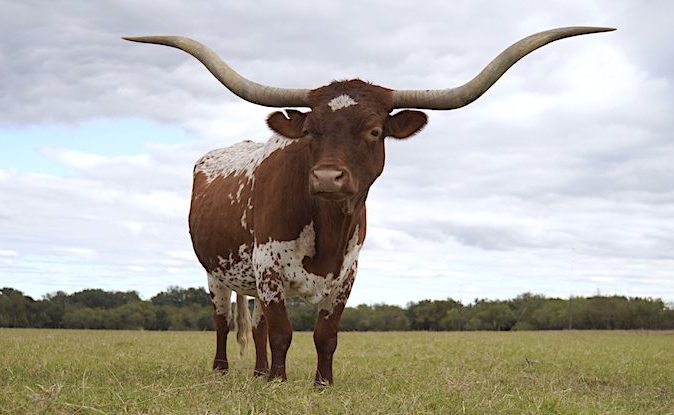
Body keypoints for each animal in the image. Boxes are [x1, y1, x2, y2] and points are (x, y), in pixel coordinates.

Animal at [123, 25, 612, 384]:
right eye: (311, 130)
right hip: (216, 274)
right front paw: (280, 383)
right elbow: (282, 332)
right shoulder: (269, 266)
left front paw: (320, 384)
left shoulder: (347, 273)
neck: (327, 227)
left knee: (255, 324)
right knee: (224, 321)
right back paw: (225, 371)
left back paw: (258, 373)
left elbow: (325, 335)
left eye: (375, 131)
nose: (326, 177)